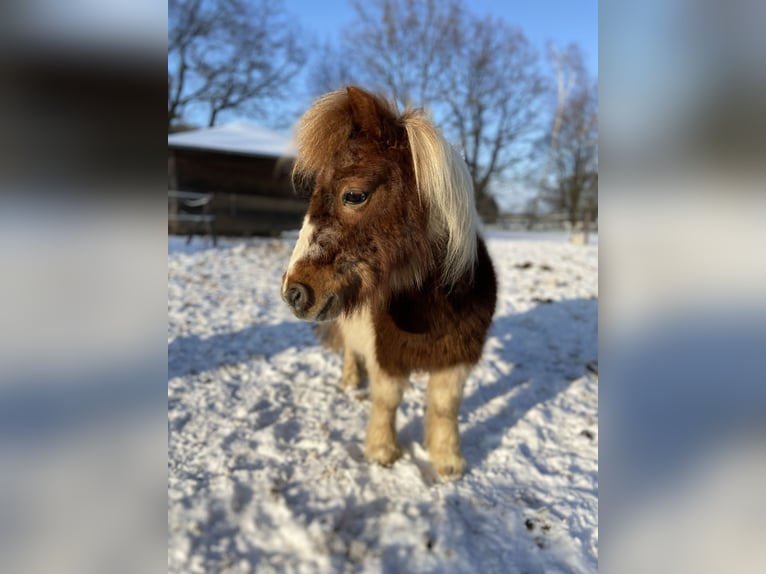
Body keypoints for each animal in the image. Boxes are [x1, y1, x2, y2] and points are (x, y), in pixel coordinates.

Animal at [282, 86, 498, 482]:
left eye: (354, 194)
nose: (294, 292)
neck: (436, 307)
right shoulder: (388, 356)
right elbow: (387, 401)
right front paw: (383, 452)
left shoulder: (458, 358)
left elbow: (444, 407)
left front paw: (448, 461)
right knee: (350, 350)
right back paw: (351, 381)